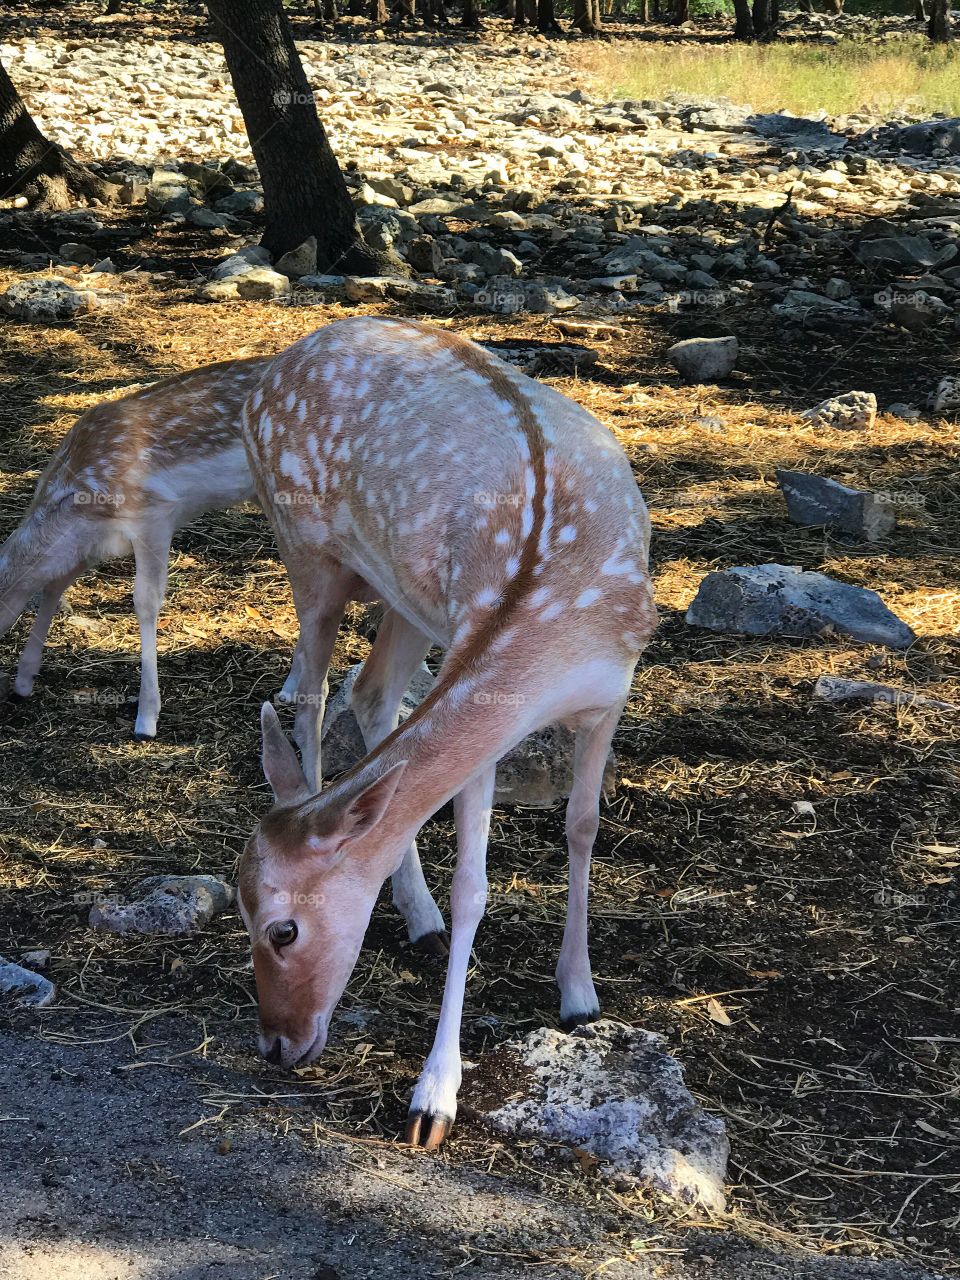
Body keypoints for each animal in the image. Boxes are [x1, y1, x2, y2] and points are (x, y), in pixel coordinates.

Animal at [0, 357, 285, 740]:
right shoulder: (92, 543)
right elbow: (54, 585)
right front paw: (24, 680)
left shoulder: (154, 515)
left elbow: (145, 601)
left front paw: (147, 717)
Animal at [237, 316, 656, 1149]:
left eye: (282, 931)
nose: (275, 1044)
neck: (557, 632)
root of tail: (281, 360)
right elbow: (475, 888)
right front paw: (433, 1098)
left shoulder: (611, 697)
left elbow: (584, 824)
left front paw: (579, 993)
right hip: (305, 548)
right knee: (311, 695)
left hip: (406, 596)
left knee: (371, 693)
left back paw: (419, 918)